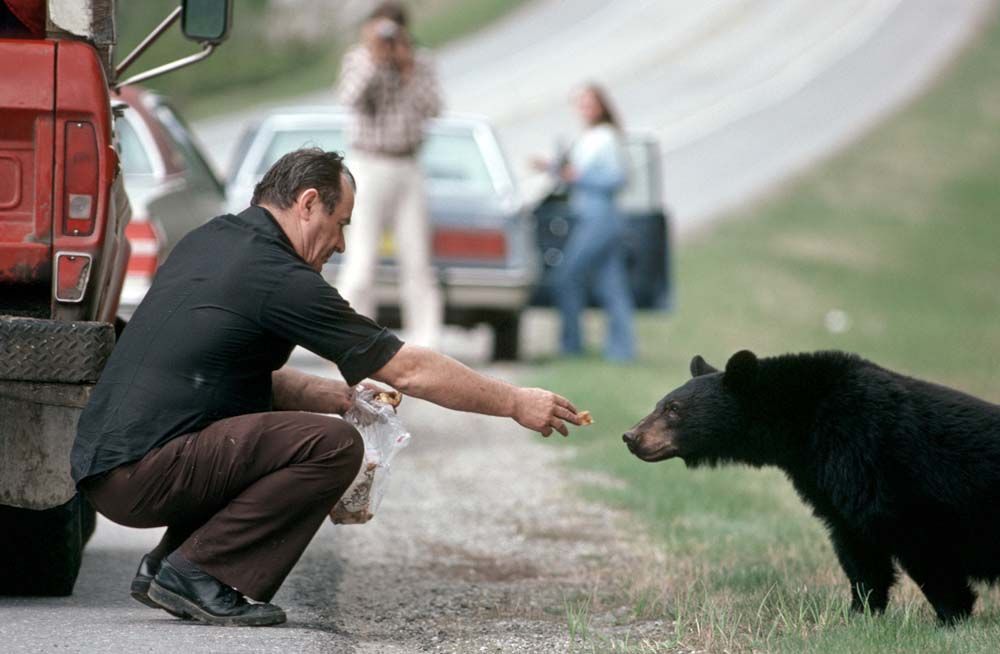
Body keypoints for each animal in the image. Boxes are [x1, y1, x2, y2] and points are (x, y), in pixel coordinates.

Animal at [622, 349, 1000, 624]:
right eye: (660, 404)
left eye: (673, 409)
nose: (631, 436)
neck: (804, 424)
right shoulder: (837, 485)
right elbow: (858, 550)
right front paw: (860, 613)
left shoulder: (879, 464)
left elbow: (920, 546)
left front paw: (953, 616)